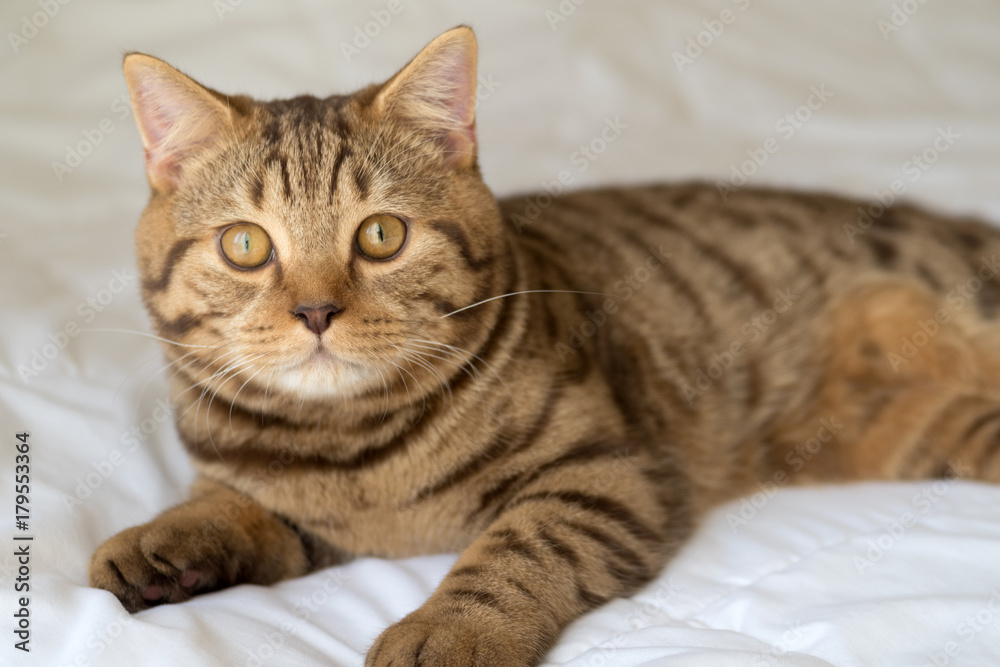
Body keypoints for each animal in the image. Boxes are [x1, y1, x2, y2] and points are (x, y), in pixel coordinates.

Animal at [90, 23, 1000, 664]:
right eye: (245, 245)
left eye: (381, 235)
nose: (316, 310)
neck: (353, 447)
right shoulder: (301, 518)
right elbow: (224, 506)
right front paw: (157, 542)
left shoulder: (608, 472)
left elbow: (513, 549)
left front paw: (448, 630)